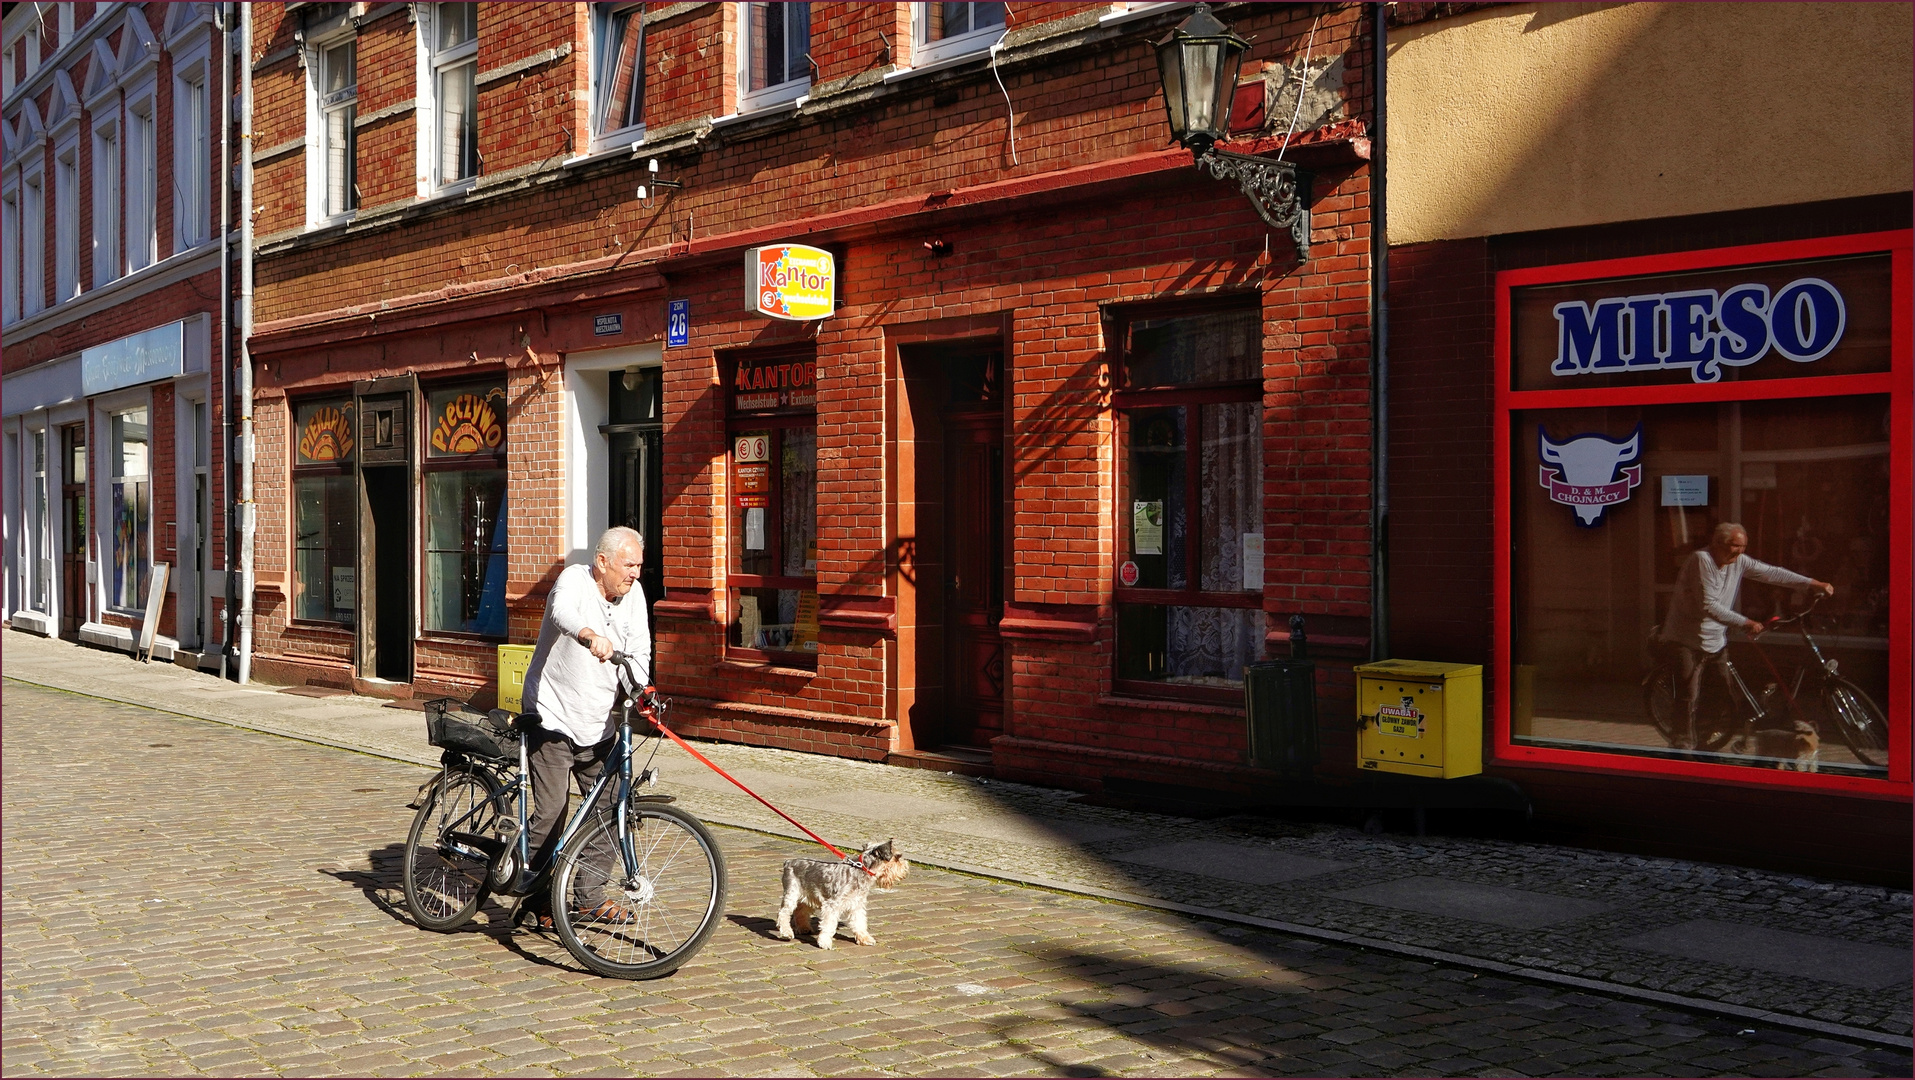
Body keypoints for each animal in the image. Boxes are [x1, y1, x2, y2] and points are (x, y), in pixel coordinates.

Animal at [773, 838, 907, 949]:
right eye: (897, 857)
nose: (905, 867)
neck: (860, 871)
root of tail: (788, 862)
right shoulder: (832, 905)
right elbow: (829, 924)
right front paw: (825, 942)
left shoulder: (857, 905)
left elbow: (860, 922)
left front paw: (865, 938)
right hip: (792, 894)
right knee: (783, 912)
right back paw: (786, 933)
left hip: (808, 896)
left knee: (800, 911)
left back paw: (804, 928)